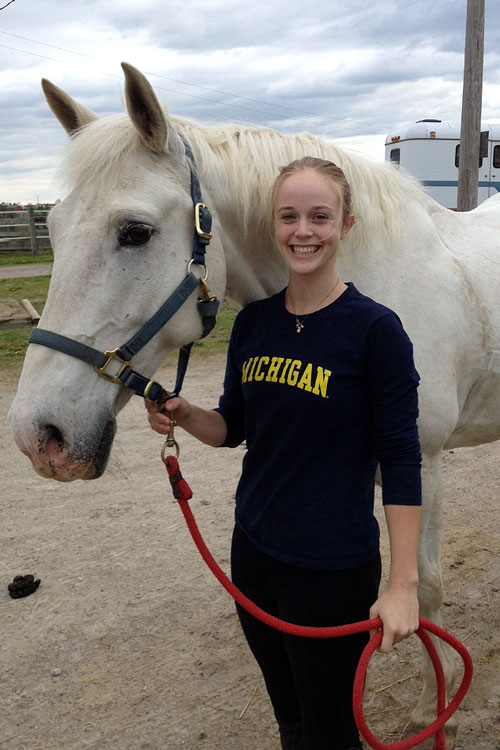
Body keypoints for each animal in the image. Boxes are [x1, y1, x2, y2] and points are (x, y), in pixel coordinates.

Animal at [7, 63, 500, 748]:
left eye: (134, 232)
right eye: (51, 230)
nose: (39, 436)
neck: (374, 279)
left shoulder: (420, 462)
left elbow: (421, 597)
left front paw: (435, 713)